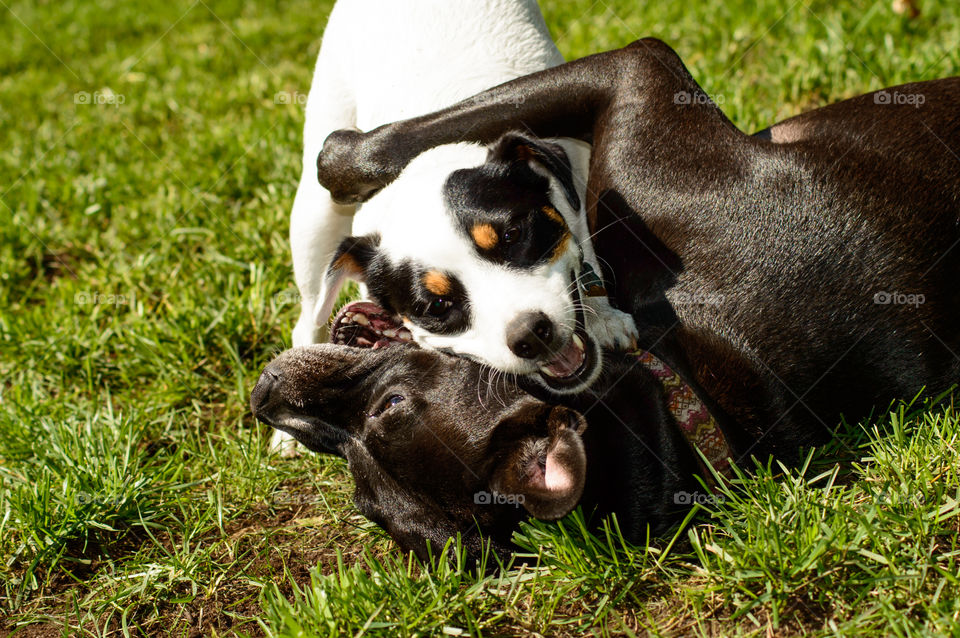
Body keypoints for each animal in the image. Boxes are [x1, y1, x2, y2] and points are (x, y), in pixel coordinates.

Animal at [278, 2, 636, 458]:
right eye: (437, 307)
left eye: (514, 235)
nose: (531, 336)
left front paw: (602, 313)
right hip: (316, 208)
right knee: (309, 314)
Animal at [318, 38, 960, 464]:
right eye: (434, 309)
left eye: (517, 234)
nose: (532, 336)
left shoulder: (637, 71)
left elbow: (361, 148)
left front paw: (344, 156)